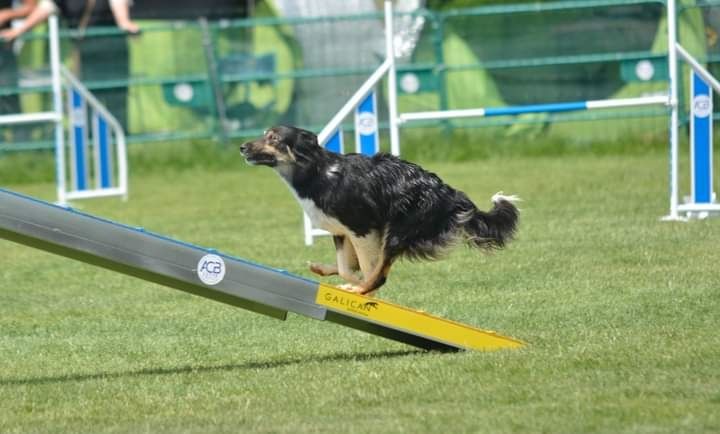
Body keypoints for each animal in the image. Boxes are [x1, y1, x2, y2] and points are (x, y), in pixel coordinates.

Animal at [240, 124, 516, 294]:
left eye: (273, 138)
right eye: (264, 134)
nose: (242, 147)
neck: (316, 173)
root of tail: (448, 191)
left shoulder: (362, 228)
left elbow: (366, 268)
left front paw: (360, 287)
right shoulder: (342, 231)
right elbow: (346, 267)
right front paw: (346, 278)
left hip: (399, 229)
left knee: (381, 271)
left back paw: (362, 288)